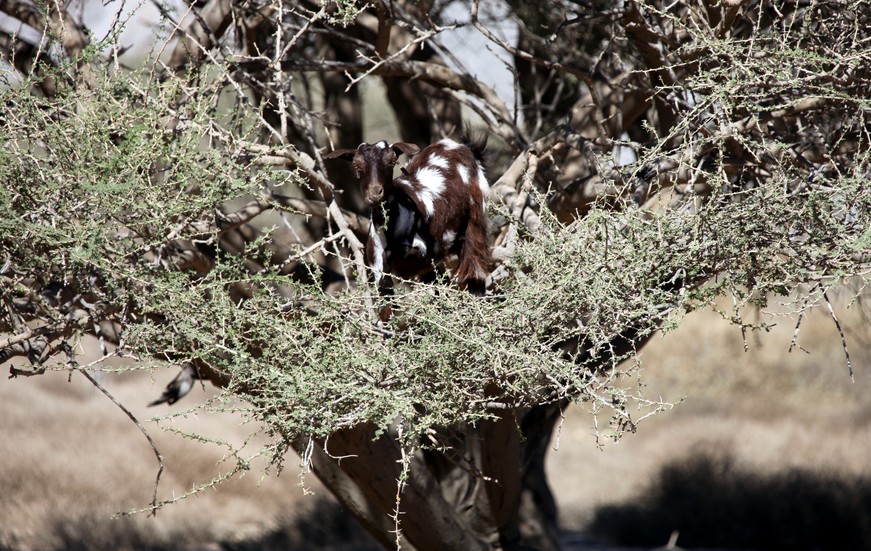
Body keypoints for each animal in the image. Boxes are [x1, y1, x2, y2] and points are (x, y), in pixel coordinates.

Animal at [326, 137, 490, 294]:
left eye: (392, 161)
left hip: (475, 221)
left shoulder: (421, 251)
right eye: (356, 165)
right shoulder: (378, 269)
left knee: (475, 272)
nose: (375, 193)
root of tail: (460, 146)